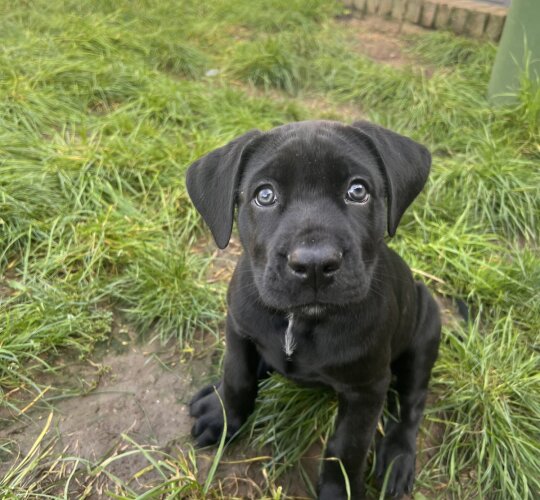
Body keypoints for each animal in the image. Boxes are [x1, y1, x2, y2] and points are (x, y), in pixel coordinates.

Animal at [185, 122, 438, 500]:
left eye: (358, 190)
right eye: (264, 195)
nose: (315, 264)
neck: (300, 319)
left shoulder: (367, 388)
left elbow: (346, 449)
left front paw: (339, 492)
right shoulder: (239, 328)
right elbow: (236, 377)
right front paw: (223, 415)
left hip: (426, 326)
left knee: (411, 403)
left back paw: (397, 459)